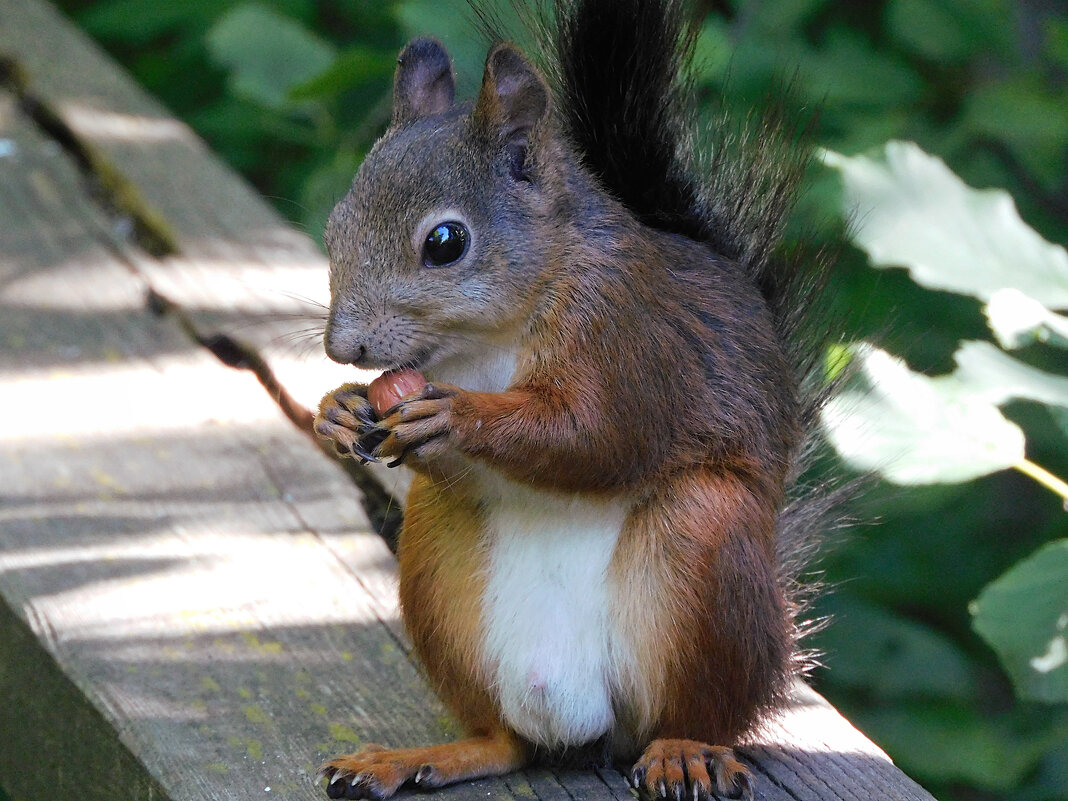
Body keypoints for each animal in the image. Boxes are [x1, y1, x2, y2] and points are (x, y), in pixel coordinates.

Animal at [312, 1, 832, 799]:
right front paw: (337, 408)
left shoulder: (625, 331)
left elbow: (599, 436)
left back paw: (685, 748)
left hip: (707, 541)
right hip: (437, 561)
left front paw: (457, 415)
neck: (488, 338)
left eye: (445, 242)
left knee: (699, 710)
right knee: (507, 740)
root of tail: (576, 718)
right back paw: (426, 756)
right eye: (335, 226)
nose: (344, 348)